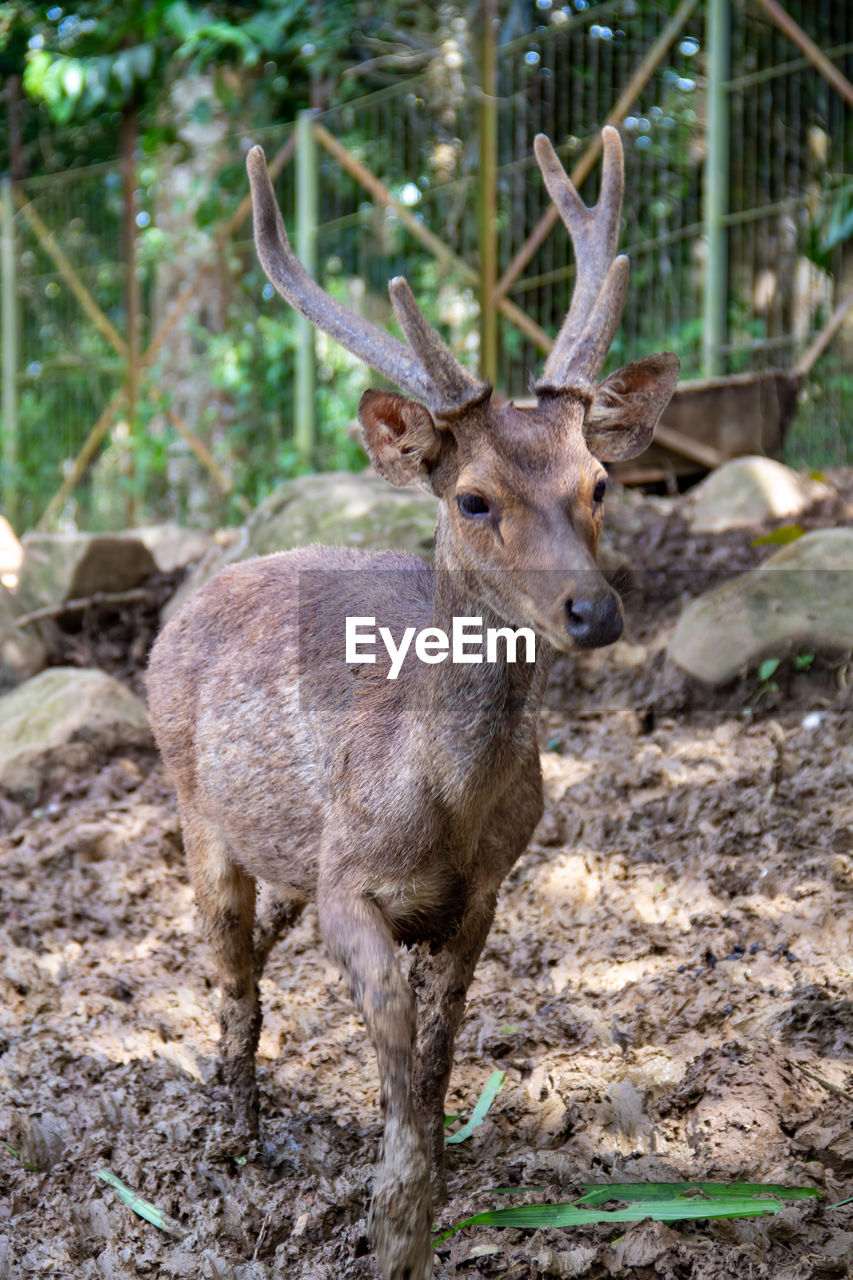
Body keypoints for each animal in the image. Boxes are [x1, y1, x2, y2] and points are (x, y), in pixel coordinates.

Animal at [146, 127, 676, 1280]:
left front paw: (425, 1210)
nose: (592, 608)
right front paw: (392, 1225)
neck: (445, 807)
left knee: (259, 951)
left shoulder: (485, 891)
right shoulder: (351, 878)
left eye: (598, 483)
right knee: (233, 982)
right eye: (472, 497)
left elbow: (434, 1070)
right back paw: (238, 1138)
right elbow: (393, 1070)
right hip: (195, 811)